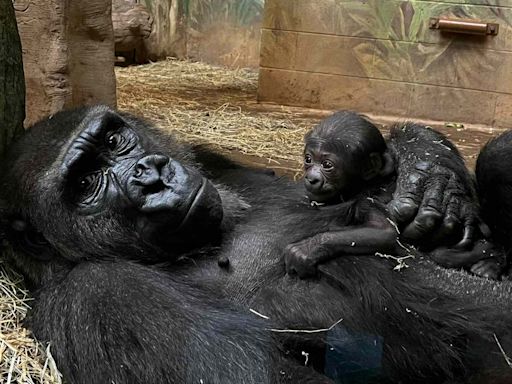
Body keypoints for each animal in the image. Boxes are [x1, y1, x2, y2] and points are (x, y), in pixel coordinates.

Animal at [286, 111, 506, 280]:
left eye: (327, 165)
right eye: (308, 159)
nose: (312, 178)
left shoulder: (369, 201)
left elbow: (383, 231)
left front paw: (308, 248)